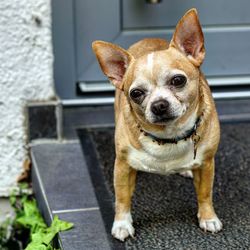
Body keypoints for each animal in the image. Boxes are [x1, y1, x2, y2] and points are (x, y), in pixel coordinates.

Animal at [93, 8, 222, 241]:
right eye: (136, 93)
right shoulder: (122, 166)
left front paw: (208, 217)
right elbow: (122, 198)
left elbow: (205, 193)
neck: (169, 136)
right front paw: (122, 224)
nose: (159, 105)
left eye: (178, 80)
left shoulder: (207, 163)